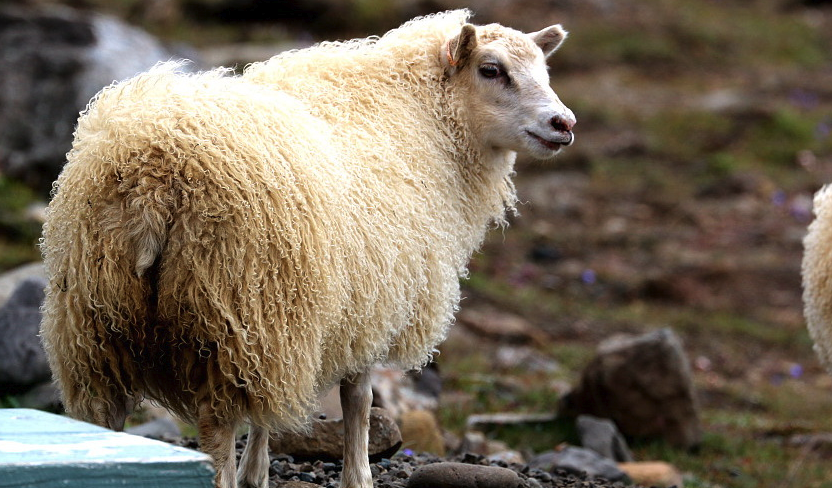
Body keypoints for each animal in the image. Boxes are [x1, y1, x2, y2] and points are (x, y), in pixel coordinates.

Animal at [37, 8, 572, 488]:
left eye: (543, 69)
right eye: (491, 70)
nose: (563, 123)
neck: (421, 117)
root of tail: (152, 176)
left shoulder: (293, 323)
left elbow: (275, 410)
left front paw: (258, 472)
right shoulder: (365, 305)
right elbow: (359, 401)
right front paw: (358, 477)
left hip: (97, 319)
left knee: (105, 418)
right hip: (225, 309)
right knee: (216, 428)